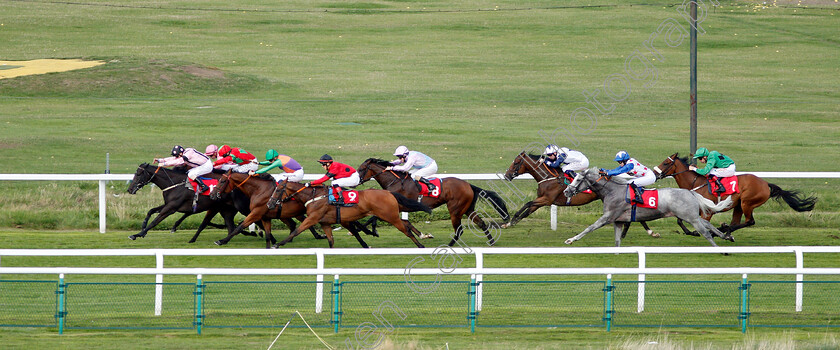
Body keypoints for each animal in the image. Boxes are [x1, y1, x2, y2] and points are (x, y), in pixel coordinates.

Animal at [272, 182, 434, 247]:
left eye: (278, 189)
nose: (270, 203)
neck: (314, 196)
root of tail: (388, 192)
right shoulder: (325, 222)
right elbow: (331, 241)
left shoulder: (313, 218)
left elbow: (296, 231)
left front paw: (278, 244)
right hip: (389, 215)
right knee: (406, 223)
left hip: (390, 216)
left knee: (405, 230)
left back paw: (420, 245)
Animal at [356, 159, 508, 246]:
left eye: (361, 169)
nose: (356, 181)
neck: (395, 182)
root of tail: (468, 184)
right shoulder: (400, 207)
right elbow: (406, 222)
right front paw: (424, 235)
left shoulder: (395, 207)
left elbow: (374, 217)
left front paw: (364, 230)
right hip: (467, 209)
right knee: (481, 223)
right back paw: (491, 241)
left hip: (455, 210)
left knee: (459, 229)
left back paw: (449, 245)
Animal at [502, 152, 660, 239]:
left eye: (516, 162)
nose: (506, 176)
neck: (549, 177)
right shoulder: (542, 200)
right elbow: (527, 210)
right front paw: (510, 222)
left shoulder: (546, 200)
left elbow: (527, 204)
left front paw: (509, 221)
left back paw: (651, 232)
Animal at [560, 167, 732, 246]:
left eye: (577, 180)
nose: (566, 191)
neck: (613, 190)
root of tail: (690, 192)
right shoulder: (618, 220)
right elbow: (617, 240)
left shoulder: (608, 217)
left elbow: (589, 228)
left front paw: (571, 239)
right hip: (691, 216)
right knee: (708, 223)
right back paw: (726, 235)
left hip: (690, 217)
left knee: (706, 232)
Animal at [652, 152, 816, 237]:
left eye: (665, 163)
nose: (654, 173)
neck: (694, 183)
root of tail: (765, 184)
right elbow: (679, 220)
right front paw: (690, 232)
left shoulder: (708, 212)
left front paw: (699, 232)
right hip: (738, 205)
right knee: (736, 222)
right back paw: (725, 229)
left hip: (747, 202)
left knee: (749, 222)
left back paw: (724, 230)